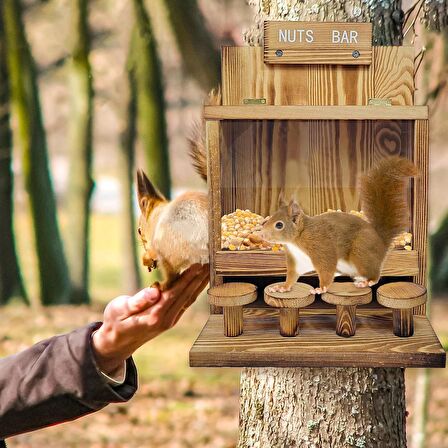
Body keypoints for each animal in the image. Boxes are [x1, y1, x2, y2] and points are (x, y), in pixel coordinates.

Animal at [258, 156, 418, 296]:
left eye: (279, 225)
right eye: (267, 220)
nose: (261, 235)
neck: (298, 239)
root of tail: (381, 242)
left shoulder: (321, 248)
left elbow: (326, 270)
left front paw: (321, 289)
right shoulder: (297, 260)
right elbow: (292, 277)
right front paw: (282, 287)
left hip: (362, 251)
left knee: (375, 275)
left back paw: (366, 282)